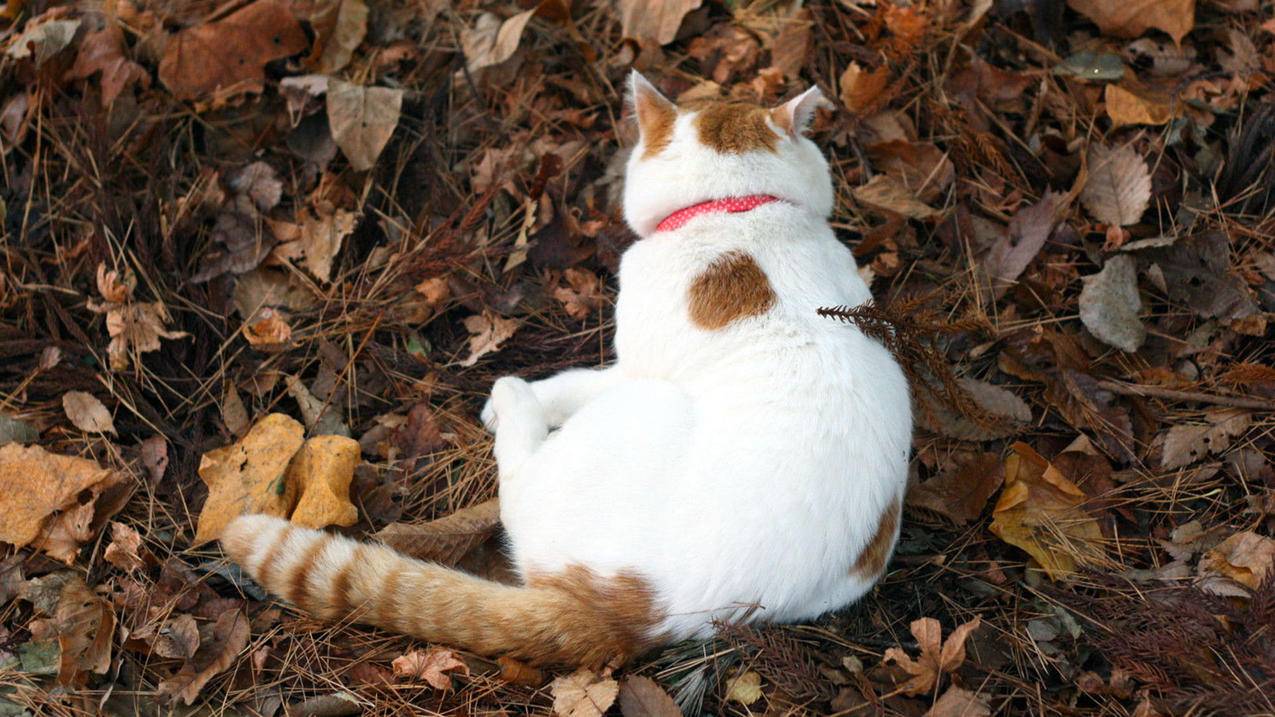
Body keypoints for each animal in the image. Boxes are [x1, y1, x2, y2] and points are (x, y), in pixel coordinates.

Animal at [221, 69, 918, 668]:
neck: (738, 206)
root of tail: (636, 618)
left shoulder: (631, 367)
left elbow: (574, 383)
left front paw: (516, 398)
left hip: (628, 421)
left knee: (517, 480)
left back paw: (510, 400)